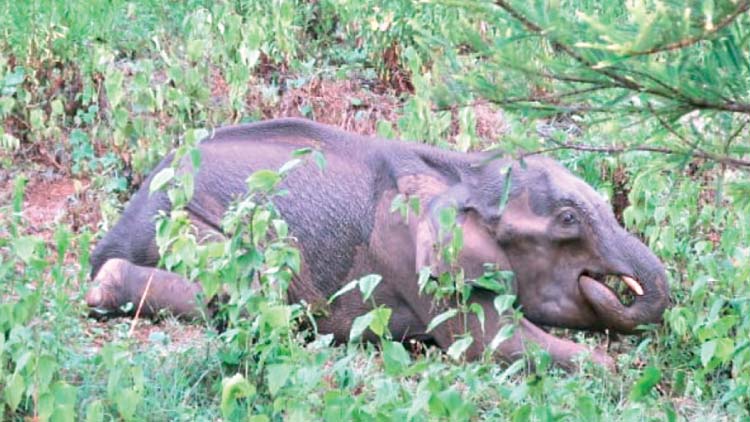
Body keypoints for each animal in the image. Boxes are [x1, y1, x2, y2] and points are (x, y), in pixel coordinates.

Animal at [86, 118, 670, 370]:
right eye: (569, 220)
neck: (463, 170)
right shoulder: (409, 252)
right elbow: (485, 340)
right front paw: (615, 371)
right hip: (185, 225)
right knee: (250, 299)